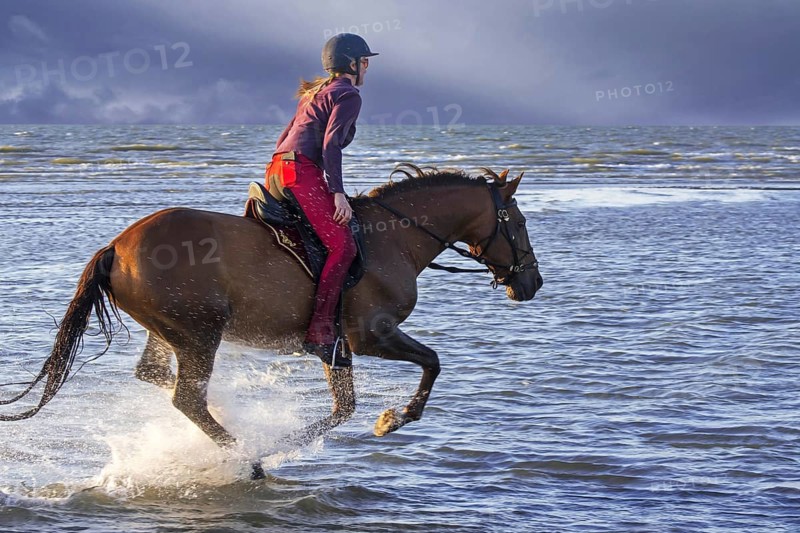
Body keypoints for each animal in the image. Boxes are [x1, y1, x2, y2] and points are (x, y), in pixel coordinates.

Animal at [0, 164, 543, 477]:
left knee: (157, 376)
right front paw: (392, 419)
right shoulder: (371, 336)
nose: (532, 283)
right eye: (518, 223)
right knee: (186, 398)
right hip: (200, 333)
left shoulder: (334, 345)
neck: (395, 237)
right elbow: (431, 362)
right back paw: (248, 458)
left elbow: (343, 408)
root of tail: (116, 247)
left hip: (170, 331)